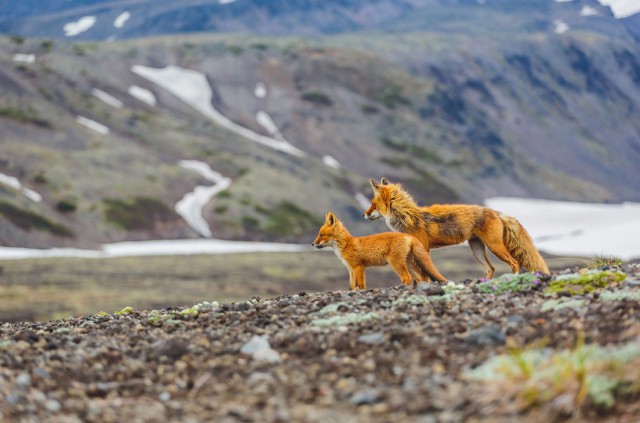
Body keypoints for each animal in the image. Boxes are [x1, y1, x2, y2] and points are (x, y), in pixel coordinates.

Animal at [312, 212, 444, 292]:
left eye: (321, 234)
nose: (312, 244)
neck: (346, 244)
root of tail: (409, 236)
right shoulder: (351, 270)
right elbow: (352, 286)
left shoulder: (358, 267)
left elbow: (361, 285)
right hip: (409, 264)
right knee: (422, 277)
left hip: (396, 263)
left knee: (407, 277)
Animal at [362, 178, 548, 280]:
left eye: (373, 204)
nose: (364, 214)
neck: (407, 217)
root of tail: (495, 211)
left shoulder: (423, 249)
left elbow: (424, 272)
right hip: (477, 249)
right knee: (491, 269)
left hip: (495, 247)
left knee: (514, 263)